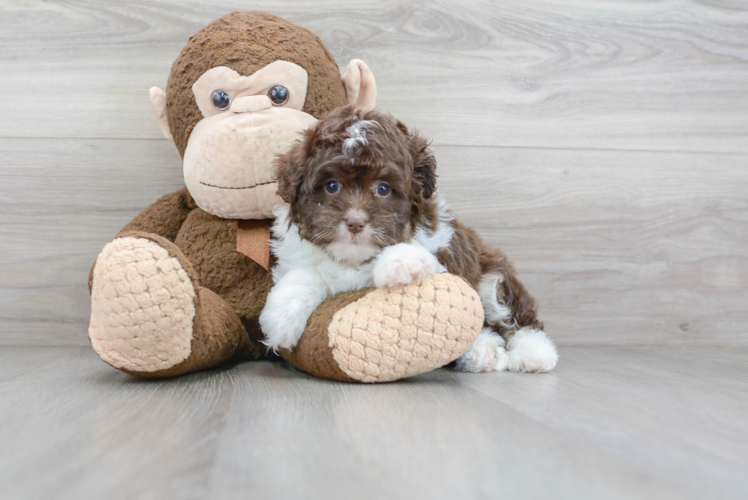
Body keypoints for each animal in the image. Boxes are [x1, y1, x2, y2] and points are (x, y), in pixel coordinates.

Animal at [260, 106, 560, 372]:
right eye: (332, 186)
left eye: (383, 189)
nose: (355, 222)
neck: (356, 259)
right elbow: (306, 274)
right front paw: (282, 316)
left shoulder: (444, 256)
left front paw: (399, 263)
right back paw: (482, 352)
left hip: (492, 275)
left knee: (513, 318)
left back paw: (533, 354)